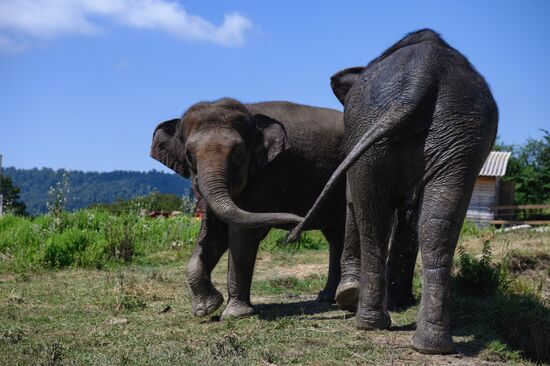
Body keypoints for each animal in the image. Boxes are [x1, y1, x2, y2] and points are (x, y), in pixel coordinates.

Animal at [288, 29, 500, 354]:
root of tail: (423, 75)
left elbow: (355, 200)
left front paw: (355, 296)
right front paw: (398, 301)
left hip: (382, 127)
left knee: (375, 219)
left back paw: (370, 321)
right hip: (459, 134)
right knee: (437, 224)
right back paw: (429, 344)